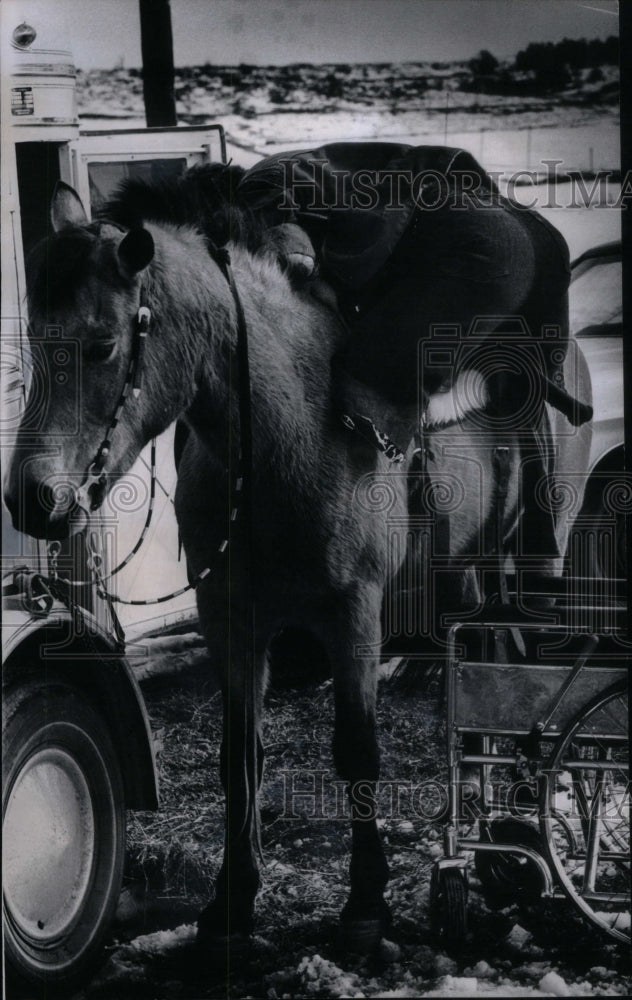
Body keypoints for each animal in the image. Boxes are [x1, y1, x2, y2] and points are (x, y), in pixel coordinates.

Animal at [2, 176, 592, 956]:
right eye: (35, 341)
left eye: (101, 344)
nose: (31, 499)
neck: (291, 432)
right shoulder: (231, 618)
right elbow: (239, 754)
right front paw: (231, 898)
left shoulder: (353, 614)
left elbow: (357, 751)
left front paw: (366, 904)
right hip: (466, 573)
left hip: (524, 561)